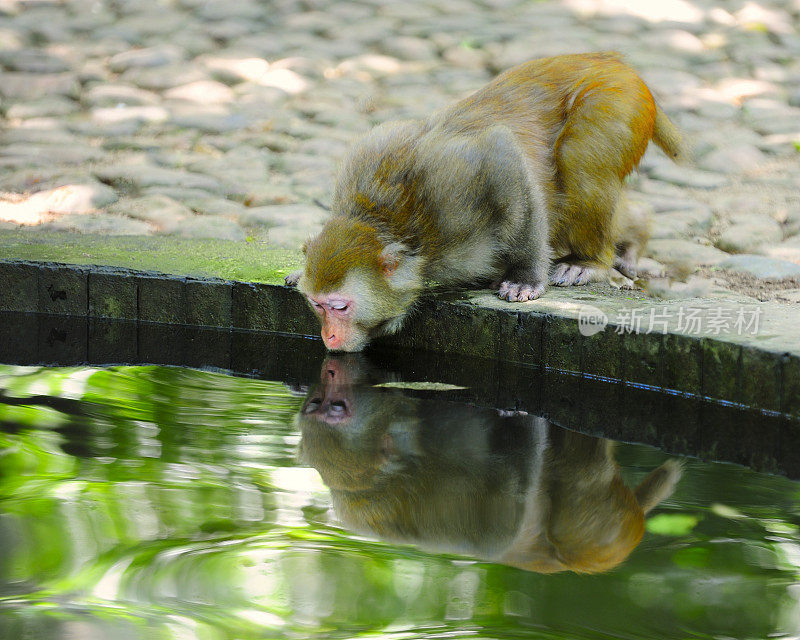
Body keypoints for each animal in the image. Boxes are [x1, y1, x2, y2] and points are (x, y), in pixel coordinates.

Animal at [286, 51, 680, 350]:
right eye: (316, 305)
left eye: (339, 307)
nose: (328, 337)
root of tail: (611, 60)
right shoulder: (365, 158)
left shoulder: (451, 191)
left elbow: (501, 153)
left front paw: (525, 279)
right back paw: (637, 232)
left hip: (616, 100)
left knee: (579, 161)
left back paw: (593, 261)